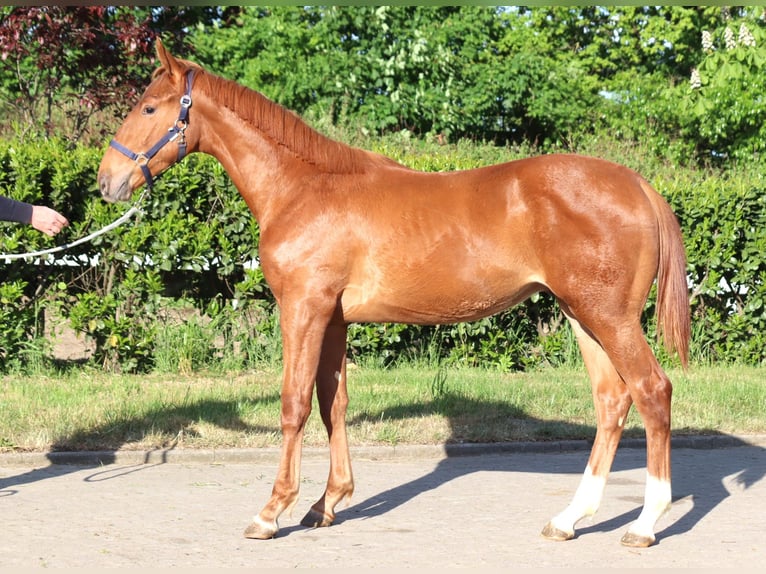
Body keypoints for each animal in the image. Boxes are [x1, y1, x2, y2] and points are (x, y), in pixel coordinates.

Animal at [98, 40, 690, 548]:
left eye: (149, 107)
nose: (108, 182)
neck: (304, 187)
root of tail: (639, 185)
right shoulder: (334, 319)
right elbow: (332, 404)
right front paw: (326, 504)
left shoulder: (303, 309)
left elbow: (294, 404)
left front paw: (271, 512)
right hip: (581, 316)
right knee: (612, 401)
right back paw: (569, 519)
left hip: (609, 317)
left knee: (652, 391)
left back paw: (644, 524)